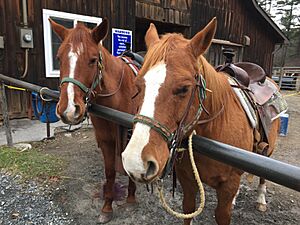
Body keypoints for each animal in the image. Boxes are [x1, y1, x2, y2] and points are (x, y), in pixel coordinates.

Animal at [49, 18, 138, 222]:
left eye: (92, 60)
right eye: (58, 58)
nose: (68, 110)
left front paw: (130, 199)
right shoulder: (106, 140)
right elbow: (110, 172)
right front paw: (107, 207)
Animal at [120, 18, 280, 225]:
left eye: (184, 88)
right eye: (138, 86)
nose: (136, 162)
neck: (216, 127)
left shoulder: (227, 187)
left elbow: (222, 215)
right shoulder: (187, 180)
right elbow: (188, 209)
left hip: (268, 149)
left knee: (263, 173)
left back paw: (261, 198)